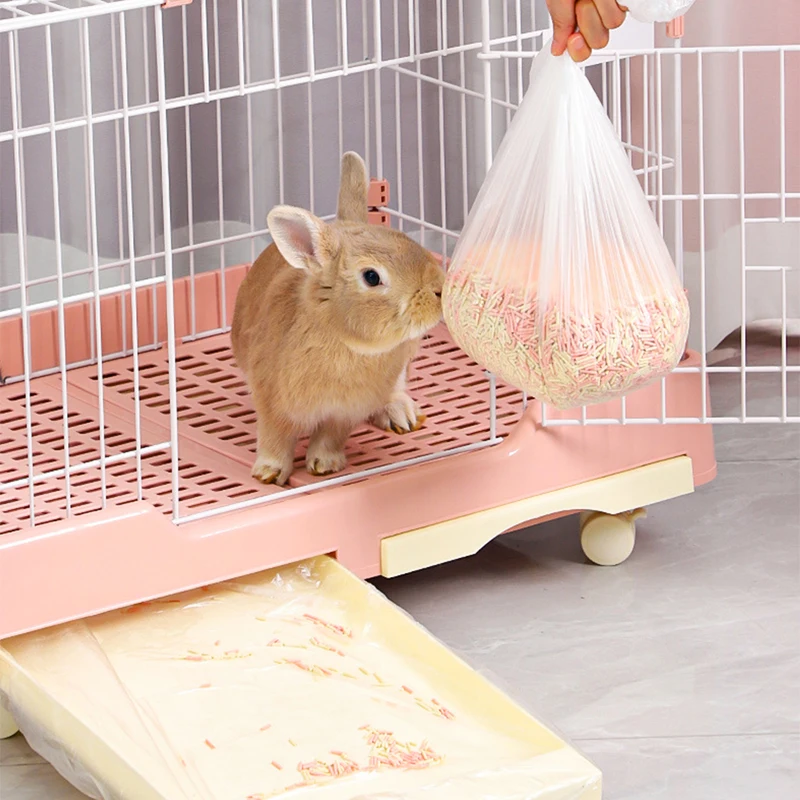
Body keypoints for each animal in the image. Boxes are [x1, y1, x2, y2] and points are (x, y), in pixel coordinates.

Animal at [231, 152, 444, 486]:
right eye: (372, 277)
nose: (439, 291)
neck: (344, 340)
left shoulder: (344, 413)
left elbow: (329, 437)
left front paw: (324, 465)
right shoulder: (271, 401)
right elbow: (275, 438)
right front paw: (267, 473)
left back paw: (401, 415)